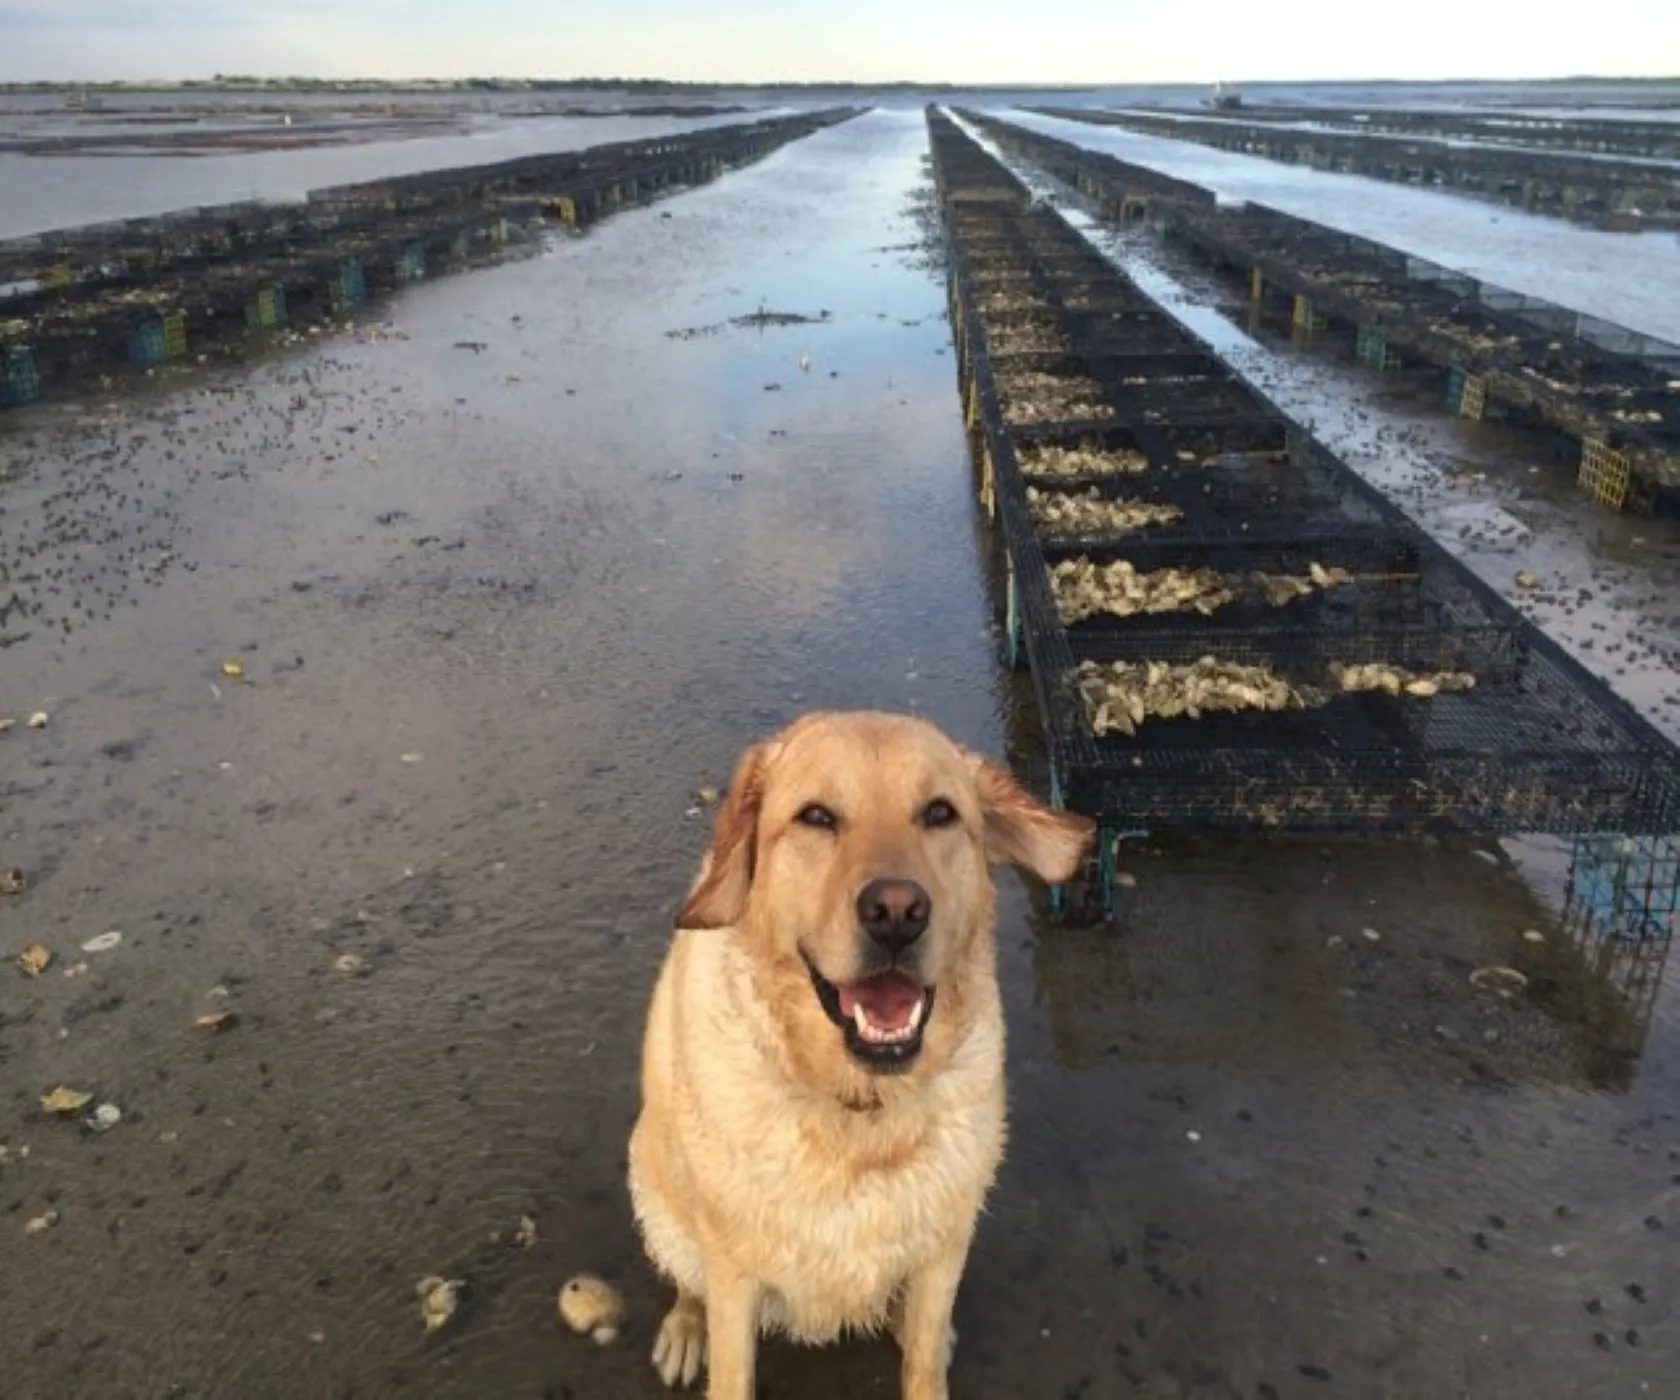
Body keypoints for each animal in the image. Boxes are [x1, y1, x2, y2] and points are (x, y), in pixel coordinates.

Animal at [624, 715, 1095, 1391]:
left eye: (939, 813)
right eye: (816, 817)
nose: (897, 911)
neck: (858, 1110)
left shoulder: (942, 1254)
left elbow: (923, 1366)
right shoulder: (734, 1273)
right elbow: (732, 1371)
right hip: (659, 1193)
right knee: (687, 1280)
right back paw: (687, 1328)